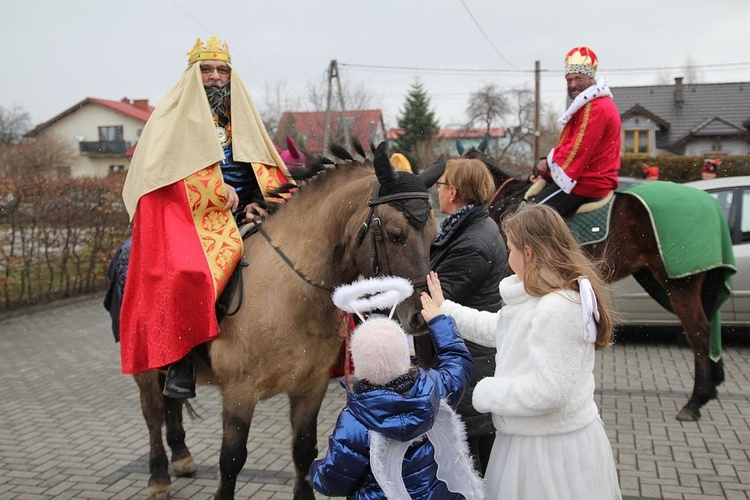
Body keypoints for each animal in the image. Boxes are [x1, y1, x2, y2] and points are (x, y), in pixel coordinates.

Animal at [108, 142, 444, 500]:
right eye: (396, 235)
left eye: (434, 236)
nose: (421, 315)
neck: (289, 293)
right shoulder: (239, 393)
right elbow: (231, 460)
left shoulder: (310, 386)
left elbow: (304, 451)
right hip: (146, 361)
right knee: (153, 411)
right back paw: (158, 476)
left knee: (170, 405)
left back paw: (181, 456)